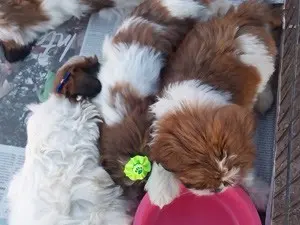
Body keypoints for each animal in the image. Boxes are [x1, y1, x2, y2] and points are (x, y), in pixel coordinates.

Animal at [146, 0, 282, 209]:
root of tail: (238, 16)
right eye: (200, 182)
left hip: (265, 62)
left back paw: (264, 99)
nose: (219, 189)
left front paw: (259, 193)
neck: (193, 106)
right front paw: (160, 188)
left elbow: (247, 171)